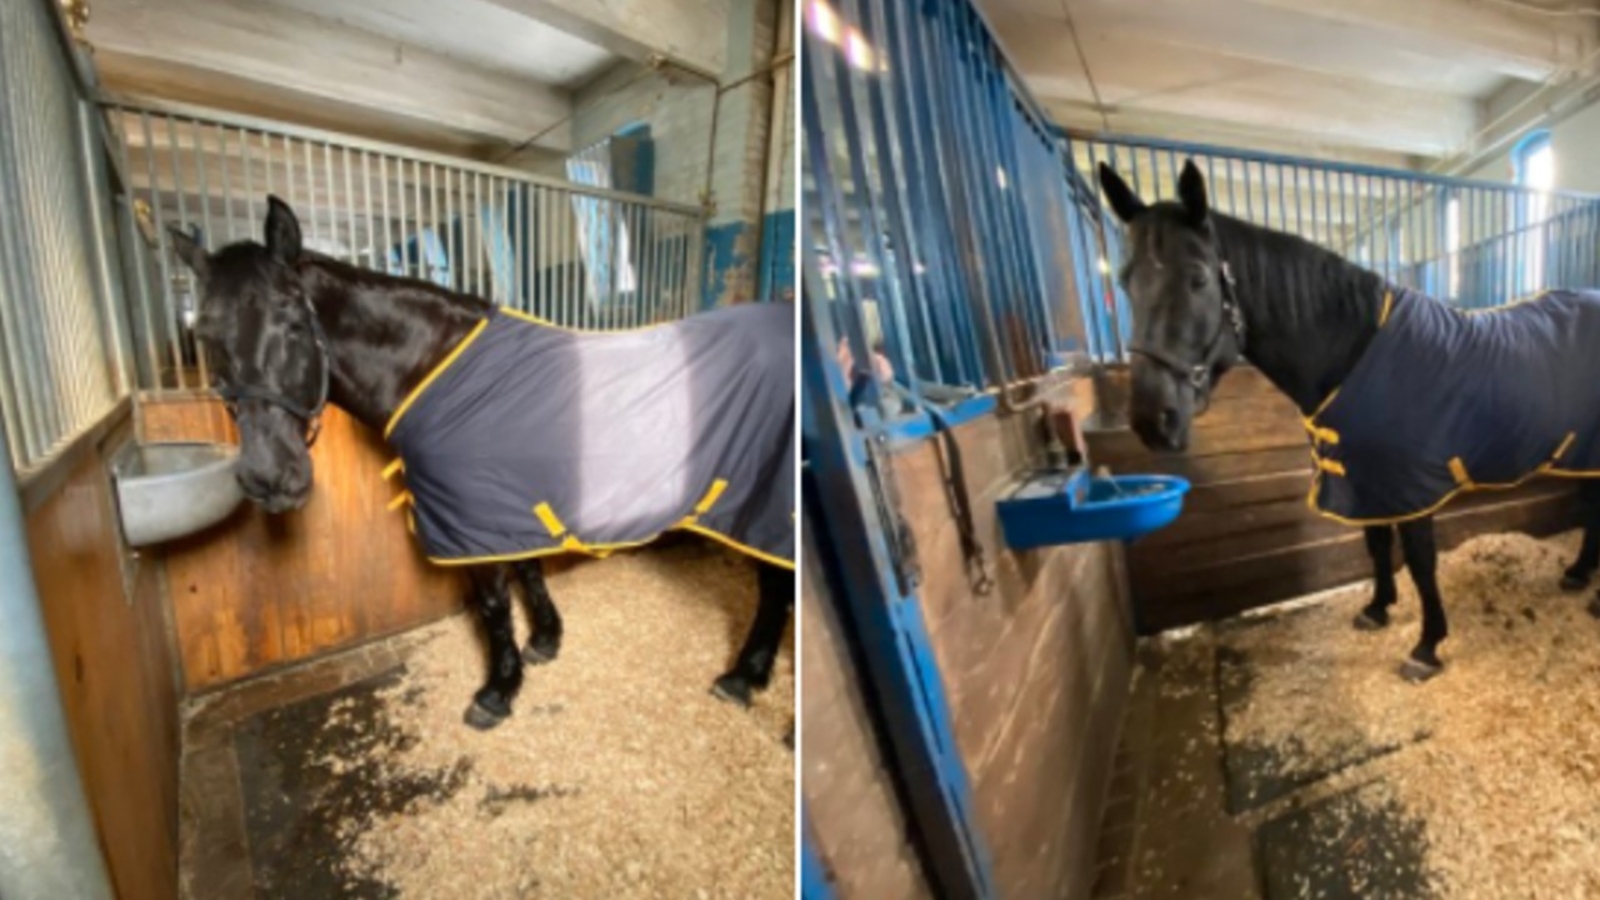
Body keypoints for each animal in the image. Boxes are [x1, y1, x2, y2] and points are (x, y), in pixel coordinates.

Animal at [169, 196, 795, 730]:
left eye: (294, 324)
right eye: (204, 335)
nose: (269, 478)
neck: (431, 365)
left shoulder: (472, 512)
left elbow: (494, 602)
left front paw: (497, 692)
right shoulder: (505, 504)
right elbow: (529, 570)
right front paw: (545, 641)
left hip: (763, 500)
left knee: (776, 583)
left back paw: (741, 678)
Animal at [1096, 159, 1600, 681]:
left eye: (1198, 278)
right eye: (1126, 280)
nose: (1153, 419)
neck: (1353, 351)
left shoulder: (1409, 488)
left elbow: (1420, 562)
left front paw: (1427, 647)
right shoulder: (1365, 480)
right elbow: (1375, 545)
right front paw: (1377, 609)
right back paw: (1577, 574)